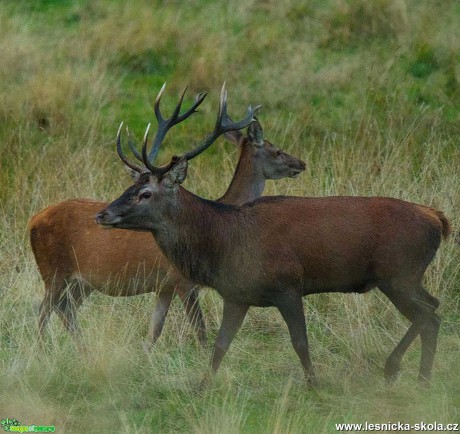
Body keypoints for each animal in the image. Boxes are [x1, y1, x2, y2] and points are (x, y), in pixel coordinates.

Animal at [28, 86, 306, 348]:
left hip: (82, 281)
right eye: (277, 150)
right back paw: (41, 351)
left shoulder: (164, 287)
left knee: (66, 309)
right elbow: (201, 332)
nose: (301, 163)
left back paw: (83, 350)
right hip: (53, 270)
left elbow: (154, 333)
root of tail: (33, 220)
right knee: (44, 312)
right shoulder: (183, 281)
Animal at [95, 85, 452, 386]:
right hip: (406, 276)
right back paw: (419, 377)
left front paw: (315, 385)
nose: (102, 214)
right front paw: (201, 388)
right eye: (129, 187)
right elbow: (220, 346)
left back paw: (402, 371)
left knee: (429, 315)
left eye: (145, 193)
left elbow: (300, 343)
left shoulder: (288, 285)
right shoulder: (237, 294)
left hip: (399, 272)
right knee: (433, 308)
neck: (224, 239)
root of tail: (438, 218)